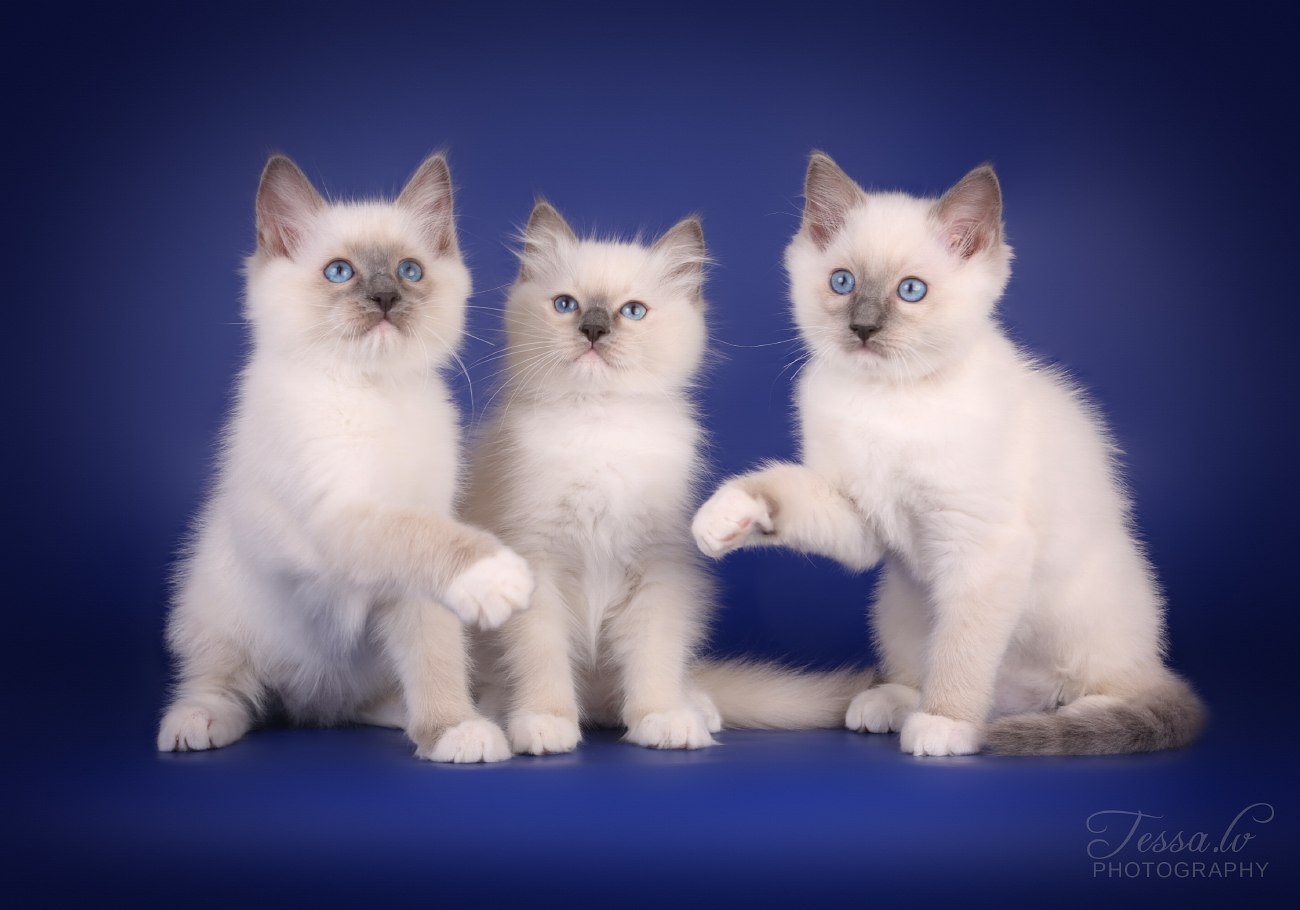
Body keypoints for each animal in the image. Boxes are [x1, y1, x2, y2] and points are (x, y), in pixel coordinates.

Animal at [157, 154, 533, 759]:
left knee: (357, 701)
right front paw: (496, 576)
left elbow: (436, 652)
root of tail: (314, 703)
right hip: (212, 604)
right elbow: (425, 538)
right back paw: (197, 722)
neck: (371, 392)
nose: (385, 300)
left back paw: (410, 716)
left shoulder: (418, 542)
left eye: (409, 272)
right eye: (339, 272)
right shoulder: (338, 516)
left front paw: (452, 727)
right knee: (224, 683)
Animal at [462, 204, 868, 754]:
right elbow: (540, 655)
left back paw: (693, 707)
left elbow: (653, 656)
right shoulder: (535, 563)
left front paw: (661, 718)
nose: (593, 330)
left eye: (632, 311)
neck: (602, 428)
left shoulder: (659, 566)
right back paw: (502, 710)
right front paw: (544, 721)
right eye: (566, 305)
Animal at [696, 154, 1201, 754]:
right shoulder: (861, 519)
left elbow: (962, 653)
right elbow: (781, 490)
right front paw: (726, 516)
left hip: (1085, 614)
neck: (889, 400)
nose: (863, 328)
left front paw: (944, 724)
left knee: (1125, 689)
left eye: (911, 291)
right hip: (899, 604)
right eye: (842, 283)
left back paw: (1061, 715)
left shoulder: (982, 547)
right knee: (947, 673)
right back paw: (893, 703)